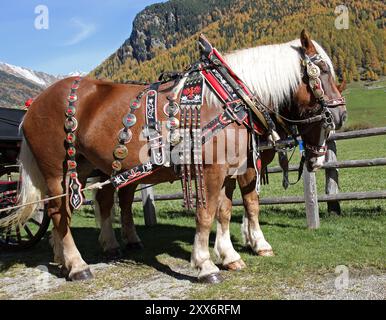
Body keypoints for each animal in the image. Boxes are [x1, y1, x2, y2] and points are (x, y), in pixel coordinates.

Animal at [1, 31, 346, 284]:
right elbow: (211, 212)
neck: (231, 97)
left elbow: (225, 211)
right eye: (322, 71)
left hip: (86, 168)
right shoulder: (214, 170)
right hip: (57, 171)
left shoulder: (230, 169)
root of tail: (33, 105)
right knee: (60, 212)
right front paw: (207, 264)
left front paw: (231, 255)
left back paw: (72, 255)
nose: (340, 115)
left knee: (86, 206)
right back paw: (76, 265)